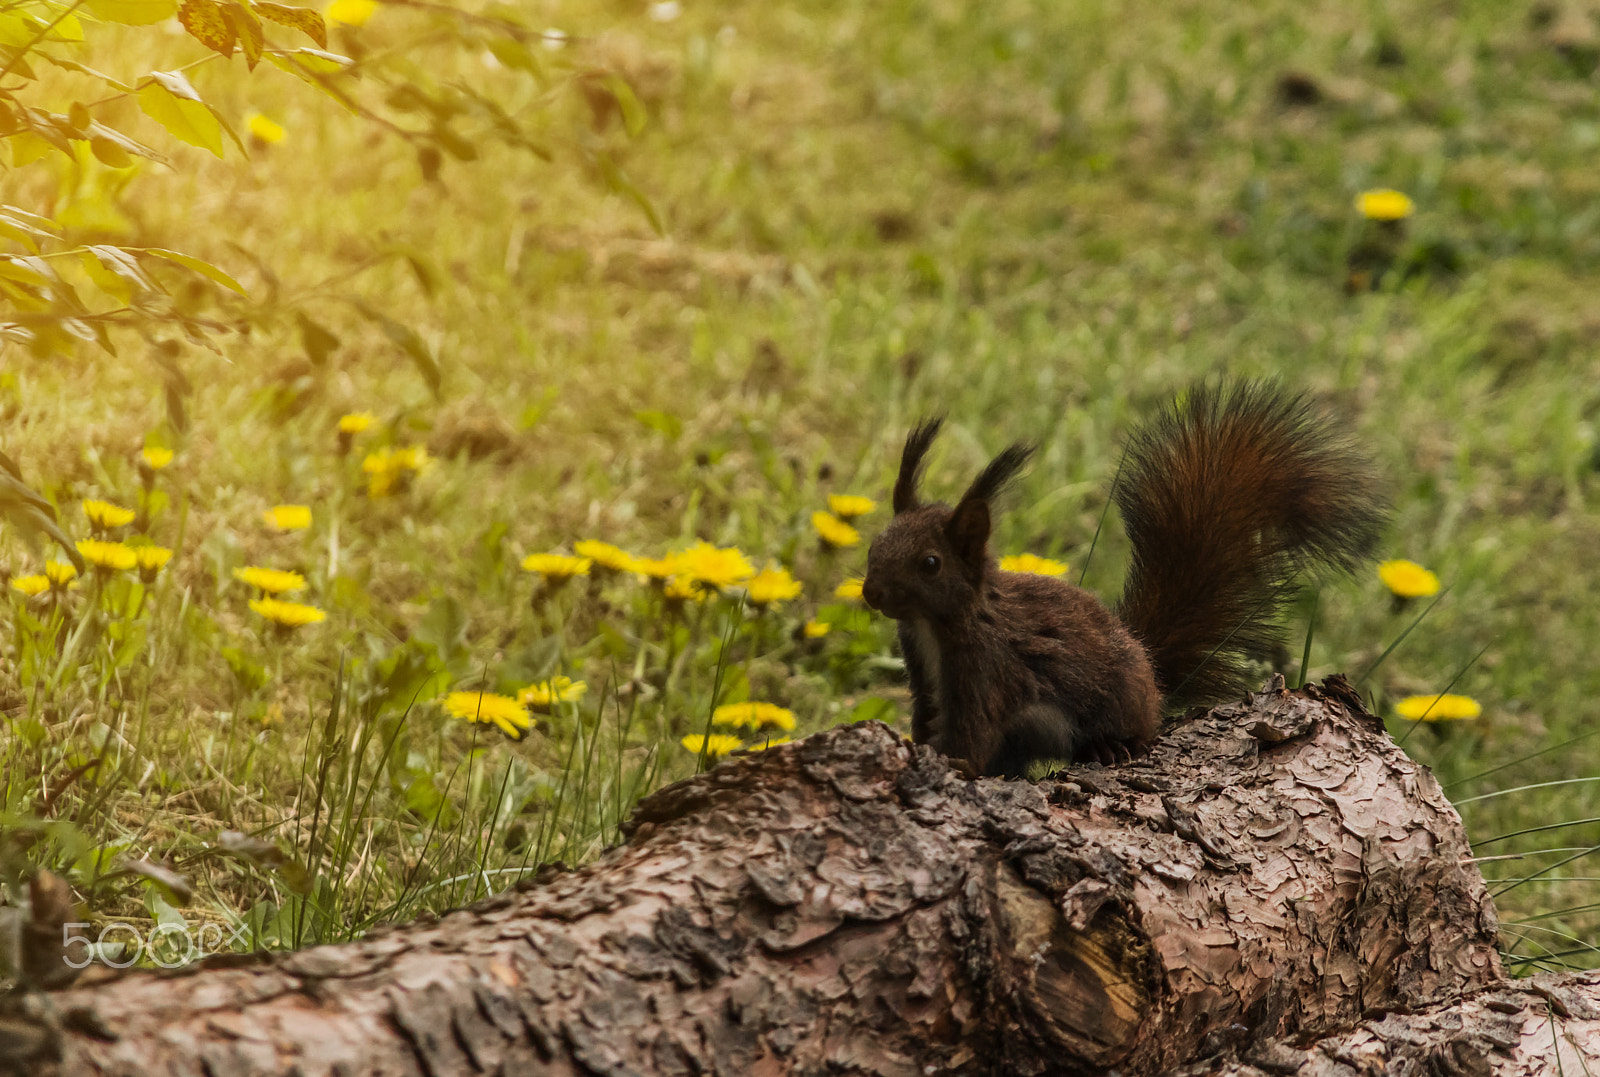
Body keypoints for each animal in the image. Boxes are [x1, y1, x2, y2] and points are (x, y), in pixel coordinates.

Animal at [864, 382, 1388, 777]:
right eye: (874, 544)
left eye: (931, 563)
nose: (872, 594)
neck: (938, 625)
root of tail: (1152, 676)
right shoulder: (926, 677)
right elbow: (927, 719)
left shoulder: (990, 670)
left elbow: (972, 733)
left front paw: (951, 766)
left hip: (1119, 699)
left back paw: (1110, 747)